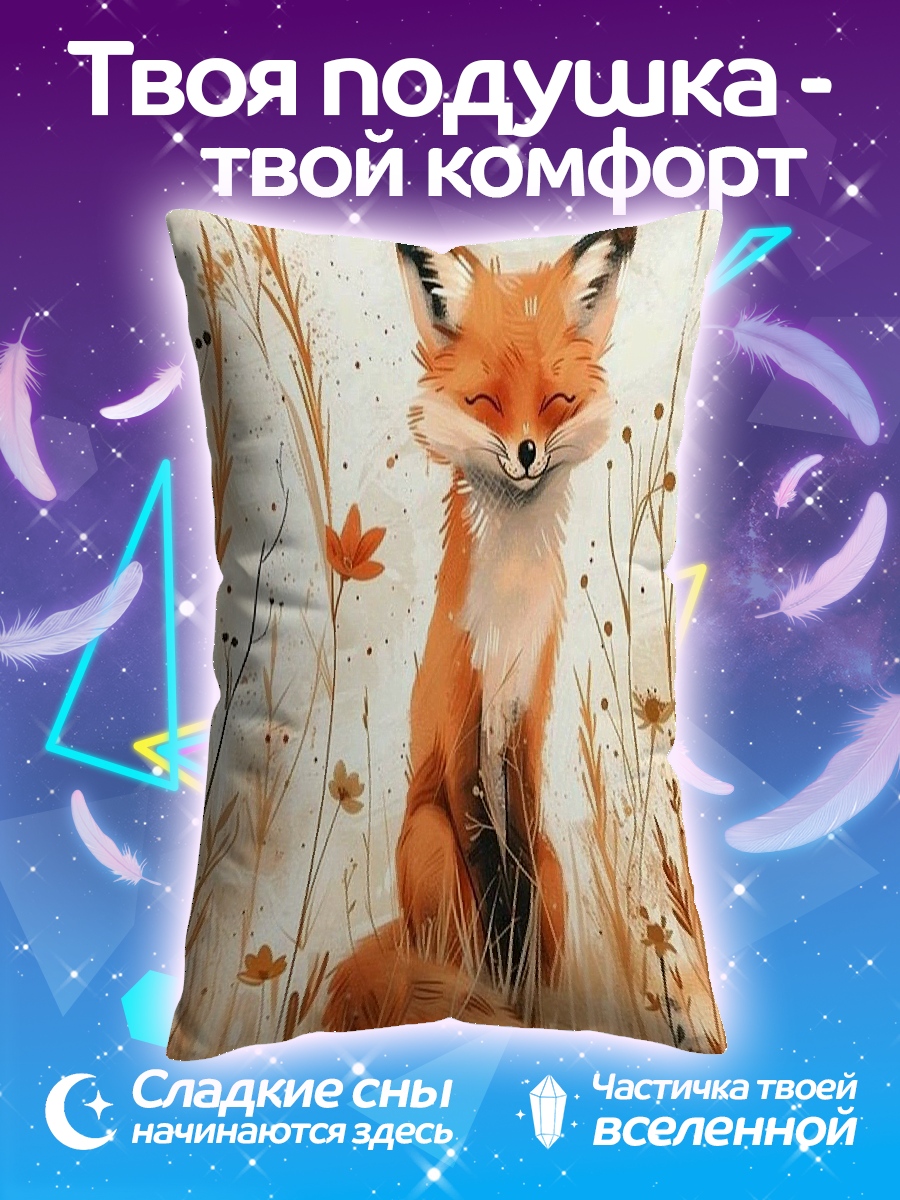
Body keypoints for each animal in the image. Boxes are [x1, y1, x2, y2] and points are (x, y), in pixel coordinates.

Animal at [323, 228, 637, 1031]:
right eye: (486, 401)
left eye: (556, 400)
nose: (526, 453)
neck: (509, 612)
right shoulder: (465, 719)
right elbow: (489, 867)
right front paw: (501, 980)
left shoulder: (526, 714)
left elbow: (516, 865)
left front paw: (522, 982)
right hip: (428, 840)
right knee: (452, 933)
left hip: (556, 868)